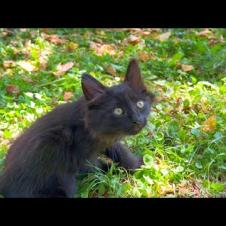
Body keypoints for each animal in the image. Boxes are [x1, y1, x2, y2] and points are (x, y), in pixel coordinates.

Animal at [0, 58, 154, 198]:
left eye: (140, 104)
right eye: (118, 111)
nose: (137, 120)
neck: (89, 126)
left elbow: (120, 150)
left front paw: (137, 164)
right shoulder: (81, 154)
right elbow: (95, 168)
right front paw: (116, 171)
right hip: (53, 146)